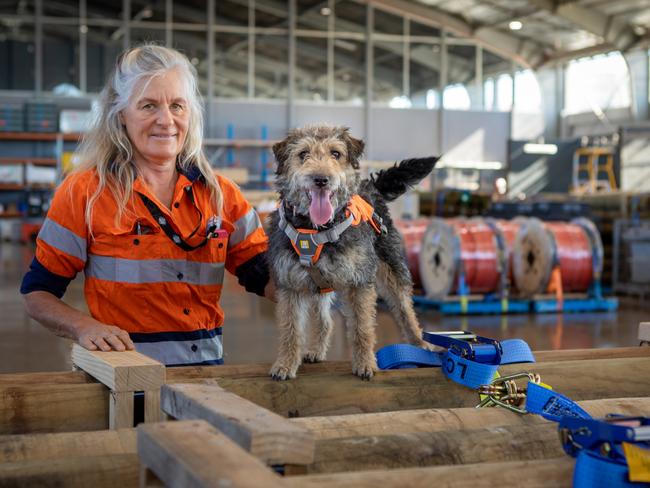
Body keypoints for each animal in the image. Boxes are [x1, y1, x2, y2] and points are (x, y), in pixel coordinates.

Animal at [266, 124, 438, 380]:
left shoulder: (359, 282)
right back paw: (317, 350)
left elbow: (362, 328)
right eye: (303, 154)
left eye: (336, 153)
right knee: (326, 321)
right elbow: (291, 330)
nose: (321, 179)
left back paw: (419, 344)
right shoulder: (291, 285)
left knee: (405, 309)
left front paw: (366, 363)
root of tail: (370, 186)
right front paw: (285, 364)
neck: (316, 229)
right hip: (321, 286)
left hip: (392, 268)